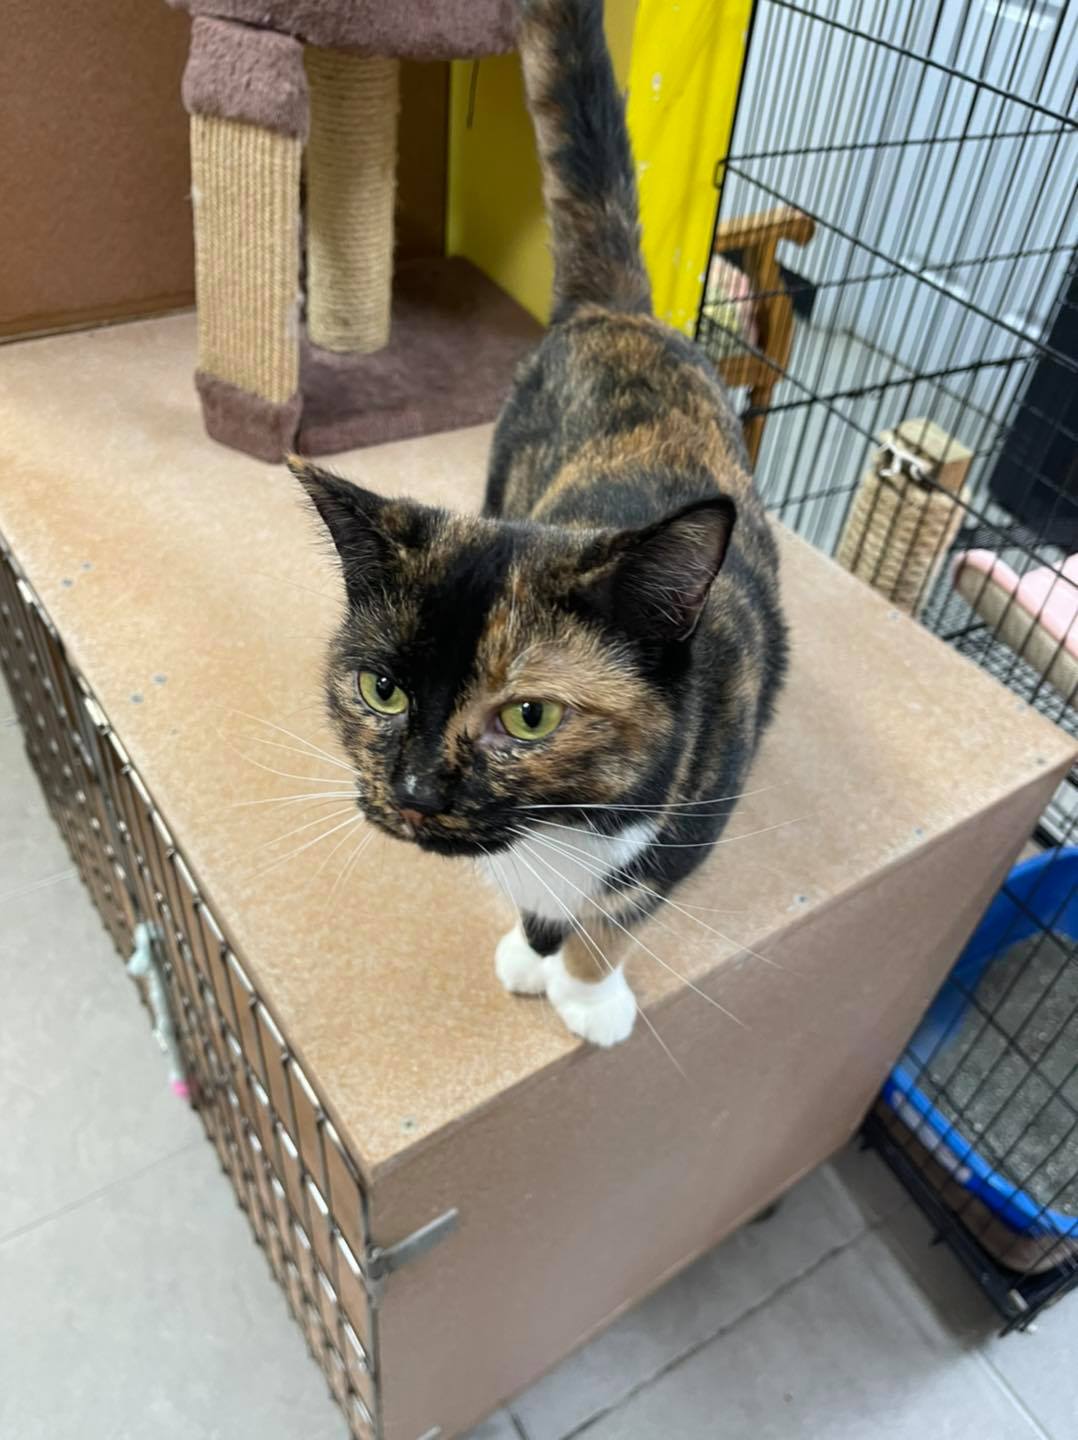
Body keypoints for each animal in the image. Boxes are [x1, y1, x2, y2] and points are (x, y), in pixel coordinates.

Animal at [291, 0, 787, 1047]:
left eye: (530, 715)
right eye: (380, 690)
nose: (414, 792)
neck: (562, 827)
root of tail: (617, 313)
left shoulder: (687, 828)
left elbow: (624, 910)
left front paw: (588, 989)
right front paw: (534, 947)